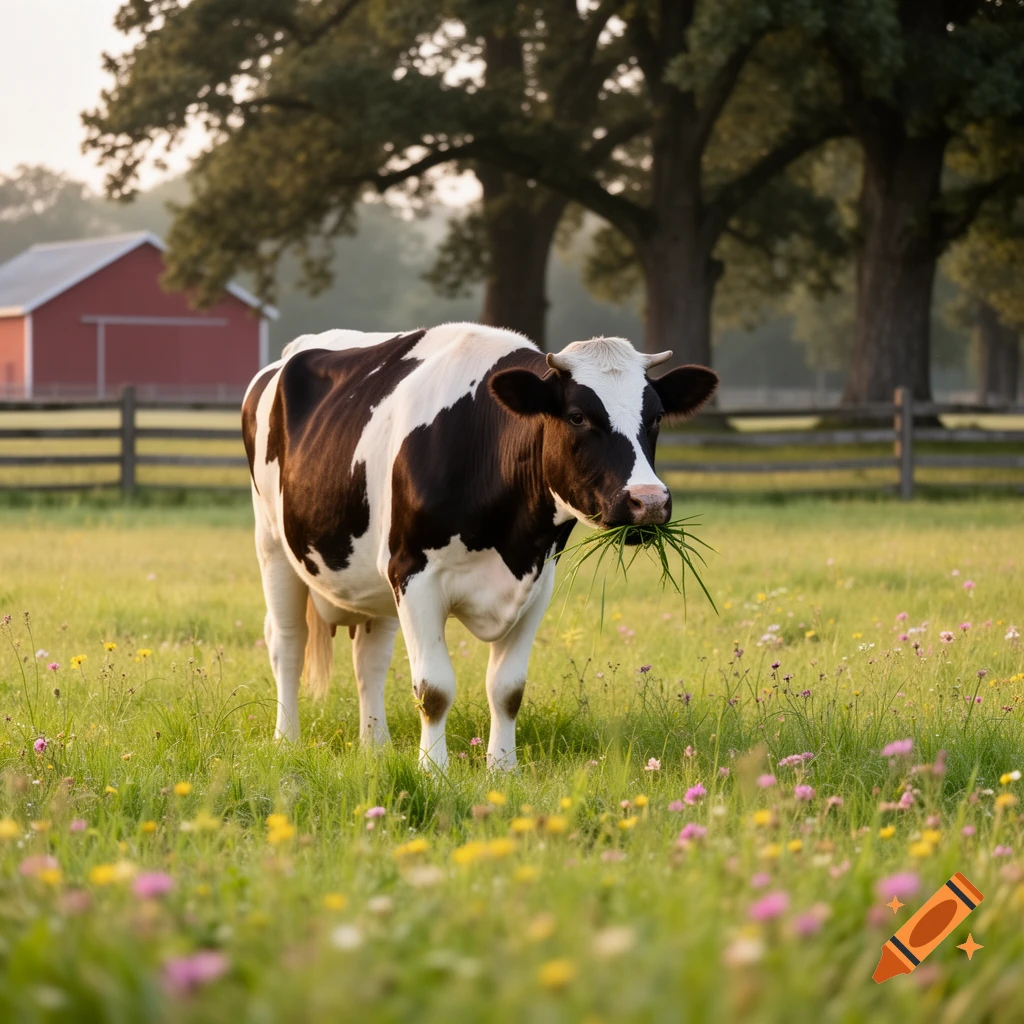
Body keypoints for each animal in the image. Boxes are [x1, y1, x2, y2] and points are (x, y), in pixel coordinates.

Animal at [241, 322, 717, 771]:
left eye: (656, 416)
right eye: (578, 416)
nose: (648, 501)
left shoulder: (537, 581)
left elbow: (507, 689)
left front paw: (503, 770)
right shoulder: (413, 573)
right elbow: (433, 689)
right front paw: (433, 771)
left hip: (373, 578)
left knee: (369, 660)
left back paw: (375, 747)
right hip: (273, 545)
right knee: (288, 643)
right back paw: (287, 741)